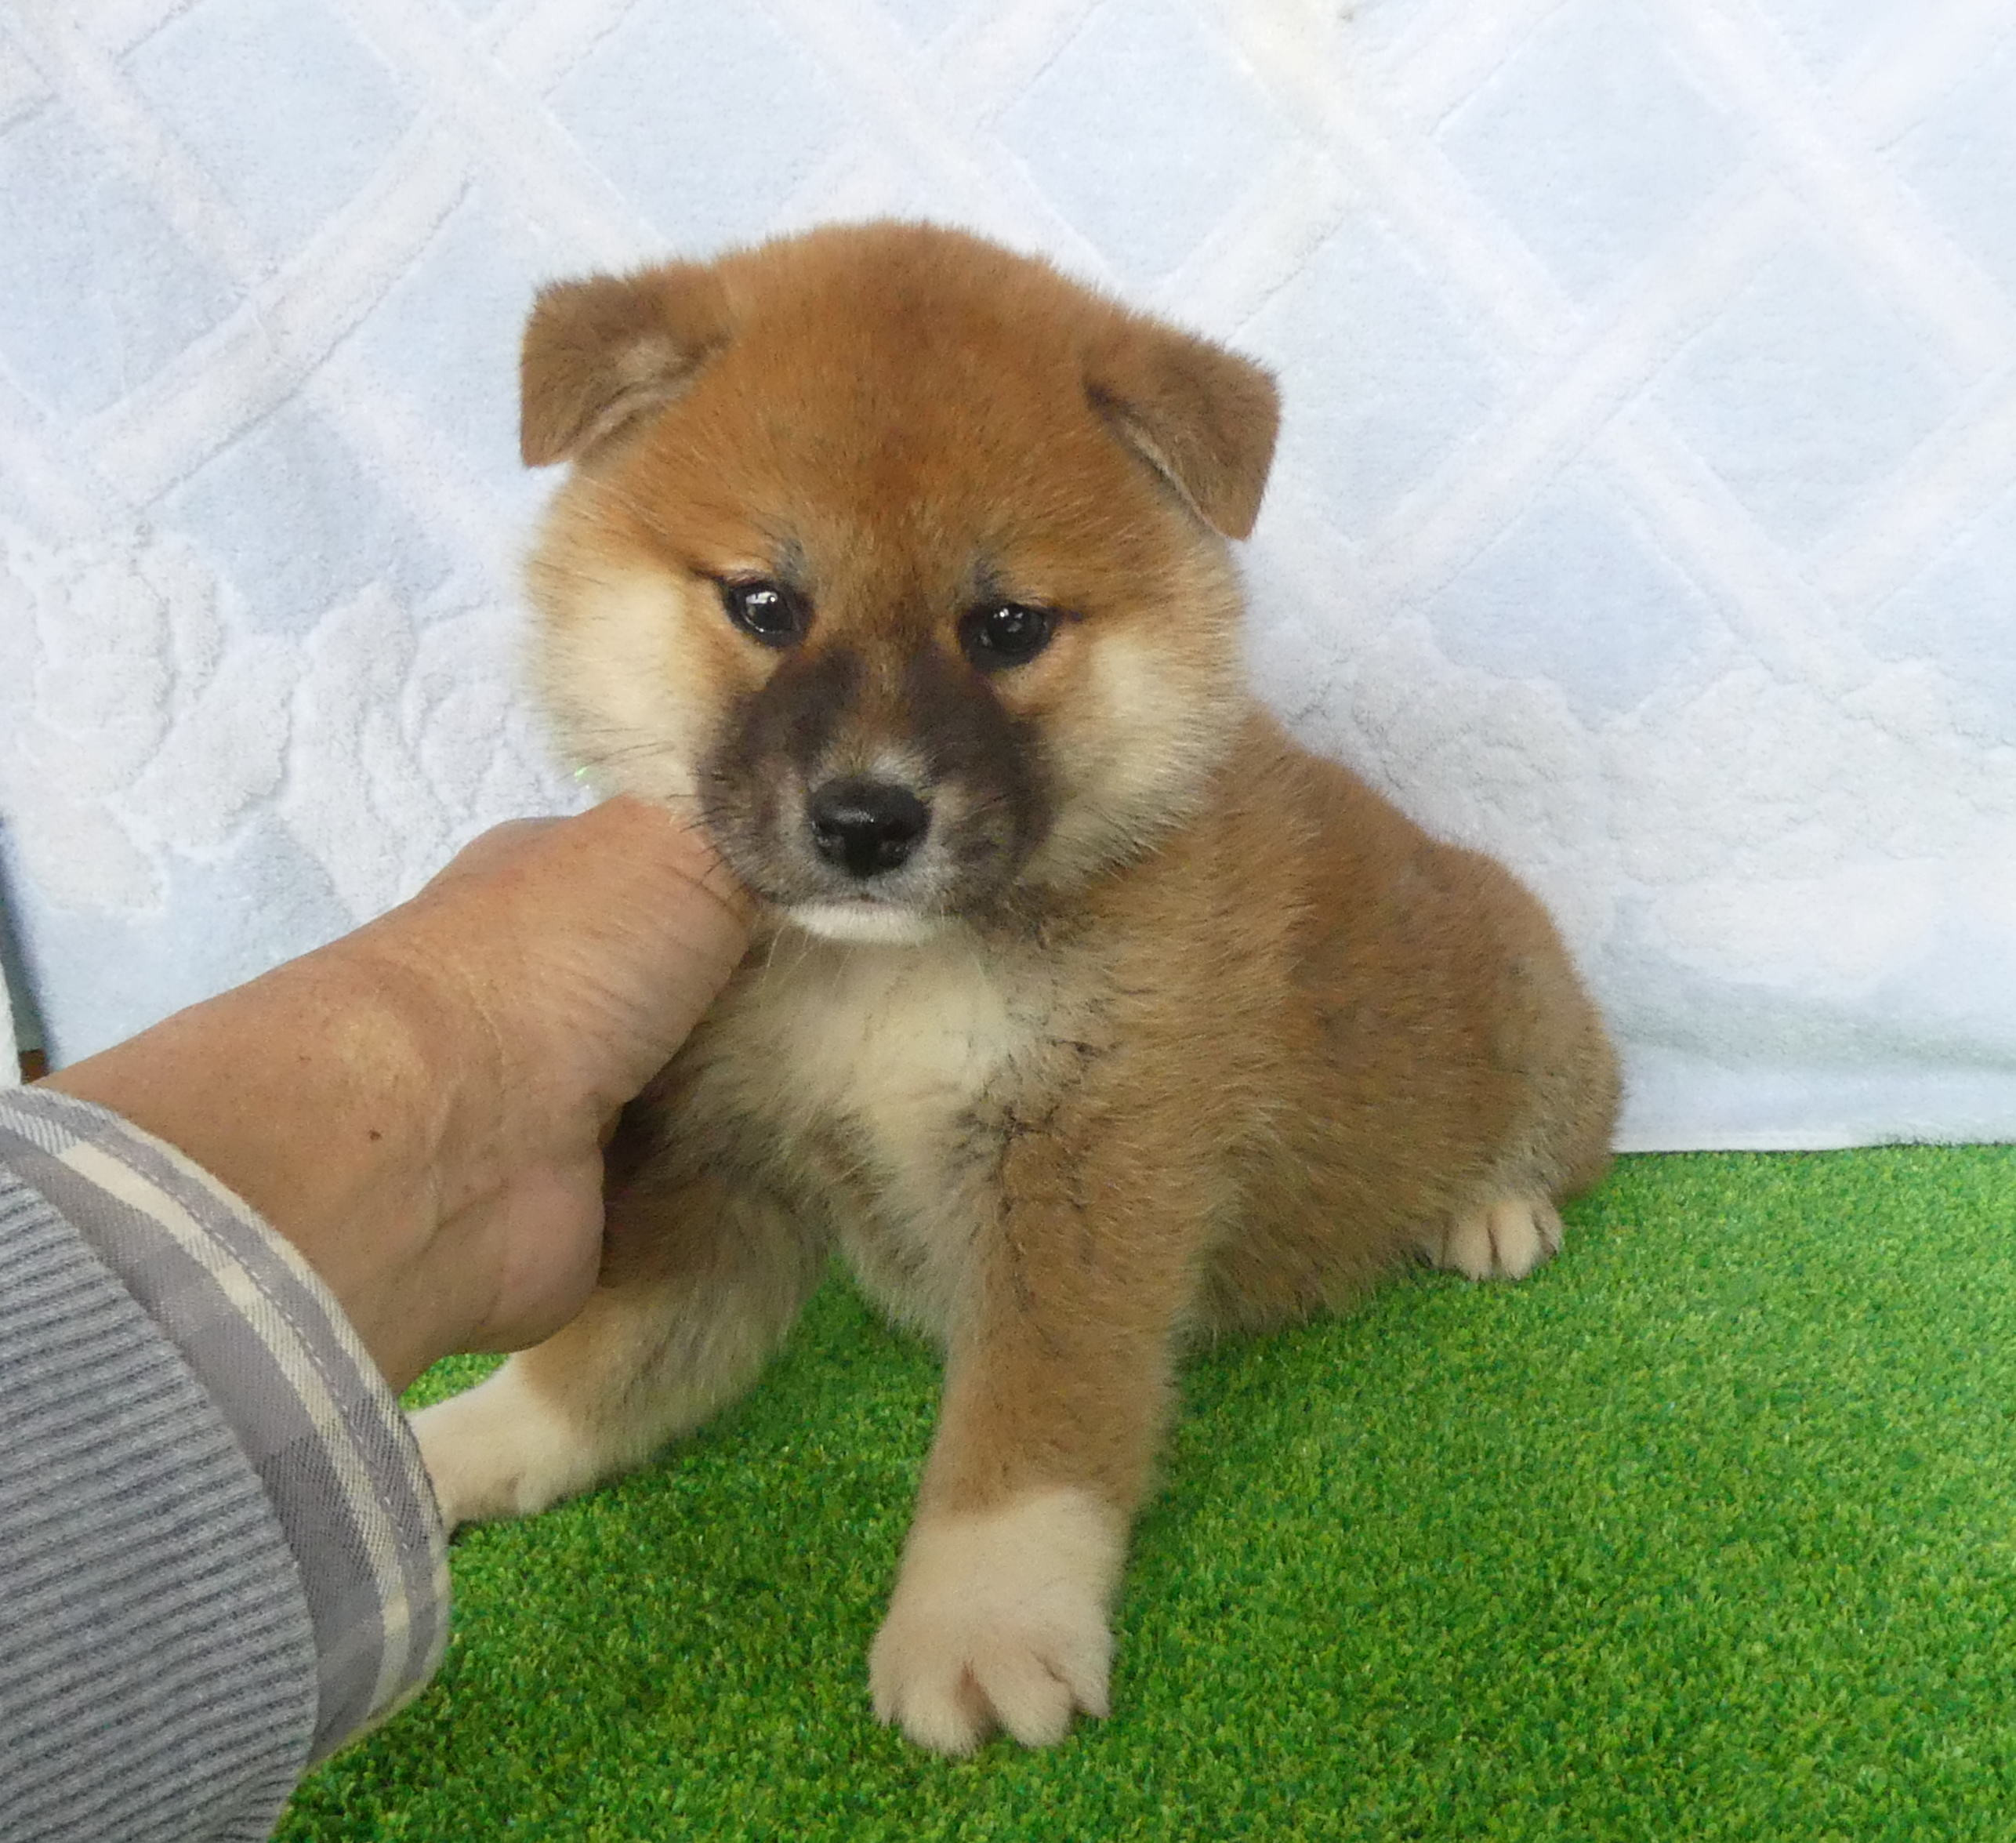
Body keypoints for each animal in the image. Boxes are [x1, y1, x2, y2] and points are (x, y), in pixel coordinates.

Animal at [412, 220, 1620, 1756]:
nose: (867, 821)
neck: (881, 986)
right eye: (765, 605)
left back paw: (1493, 1211)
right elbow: (600, 1362)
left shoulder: (1086, 1167)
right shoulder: (716, 1175)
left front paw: (981, 1616)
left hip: (1537, 1016)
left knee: (1559, 1141)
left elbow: (1029, 1427)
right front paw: (455, 1443)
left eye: (1003, 626)